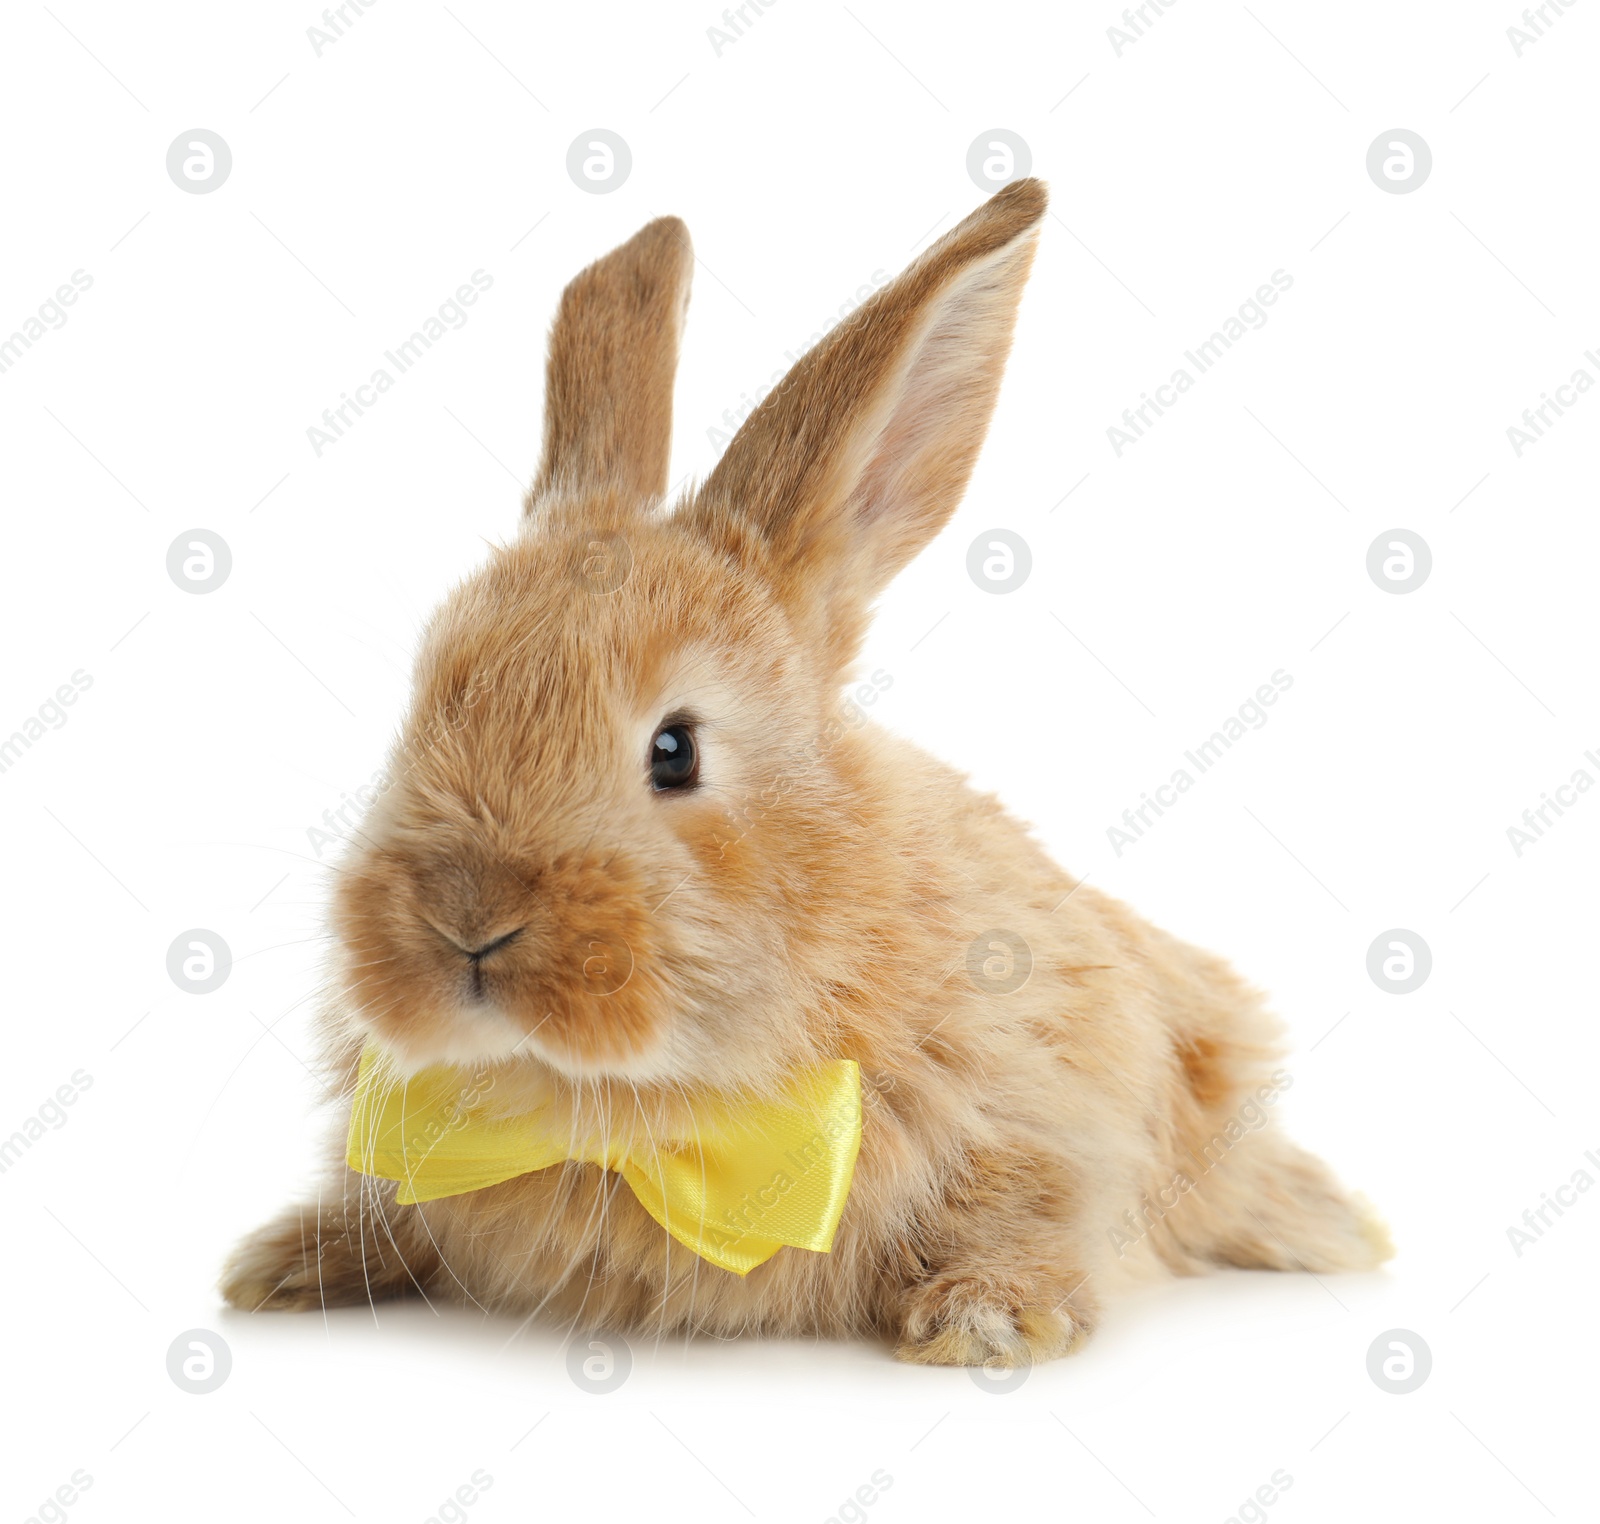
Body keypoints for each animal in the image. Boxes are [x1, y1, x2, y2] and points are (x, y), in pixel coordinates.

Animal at [222, 181, 1388, 1370]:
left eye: (675, 750)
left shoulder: (1058, 1092)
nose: (466, 917)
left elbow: (1031, 1205)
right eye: (421, 705)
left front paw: (985, 1321)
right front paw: (284, 1265)